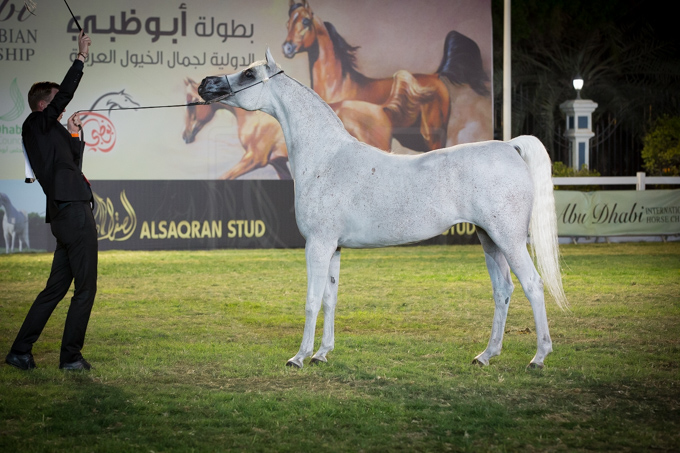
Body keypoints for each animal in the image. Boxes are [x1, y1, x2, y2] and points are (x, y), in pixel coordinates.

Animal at [198, 50, 567, 370]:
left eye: (249, 74)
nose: (205, 84)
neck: (326, 158)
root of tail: (509, 146)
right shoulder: (334, 248)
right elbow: (330, 299)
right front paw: (322, 354)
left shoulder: (317, 245)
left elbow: (312, 301)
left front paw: (299, 357)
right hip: (489, 239)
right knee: (503, 290)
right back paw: (486, 355)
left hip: (510, 240)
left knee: (533, 285)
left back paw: (538, 358)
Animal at [283, 1, 490, 150]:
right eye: (288, 22)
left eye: (305, 21)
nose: (287, 48)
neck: (338, 85)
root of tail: (436, 75)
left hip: (433, 136)